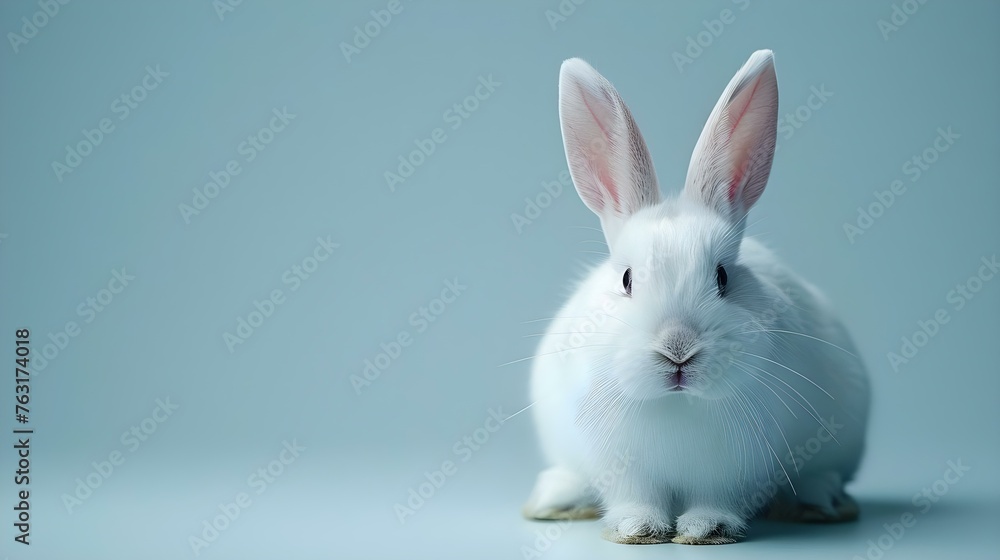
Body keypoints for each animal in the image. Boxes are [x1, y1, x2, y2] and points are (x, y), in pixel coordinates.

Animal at [522, 50, 870, 545]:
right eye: (627, 279)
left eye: (722, 277)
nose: (677, 349)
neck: (677, 404)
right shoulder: (623, 468)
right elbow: (636, 498)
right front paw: (638, 530)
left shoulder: (734, 470)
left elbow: (715, 500)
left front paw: (706, 530)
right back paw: (555, 499)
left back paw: (817, 502)